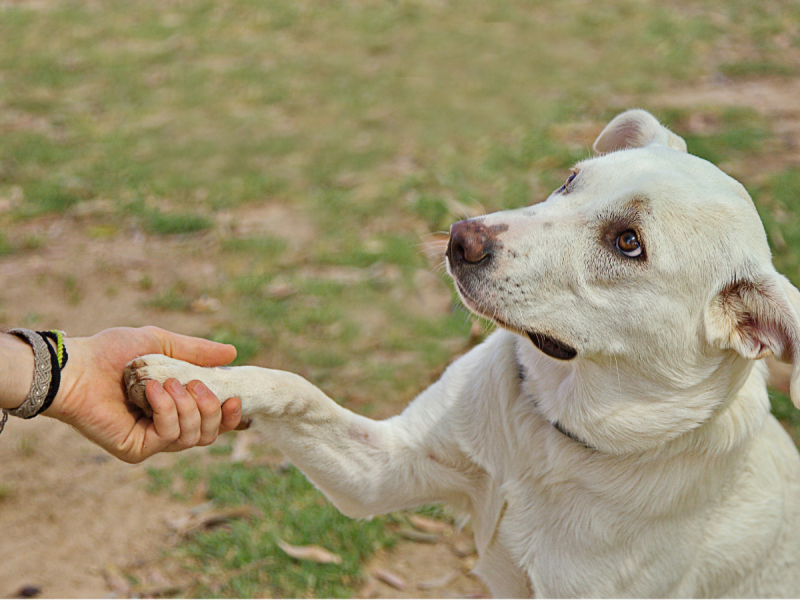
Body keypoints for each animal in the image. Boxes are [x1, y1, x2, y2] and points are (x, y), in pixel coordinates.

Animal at [125, 110, 800, 596]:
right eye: (570, 180)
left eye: (628, 242)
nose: (460, 237)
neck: (551, 436)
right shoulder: (382, 471)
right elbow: (293, 386)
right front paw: (187, 377)